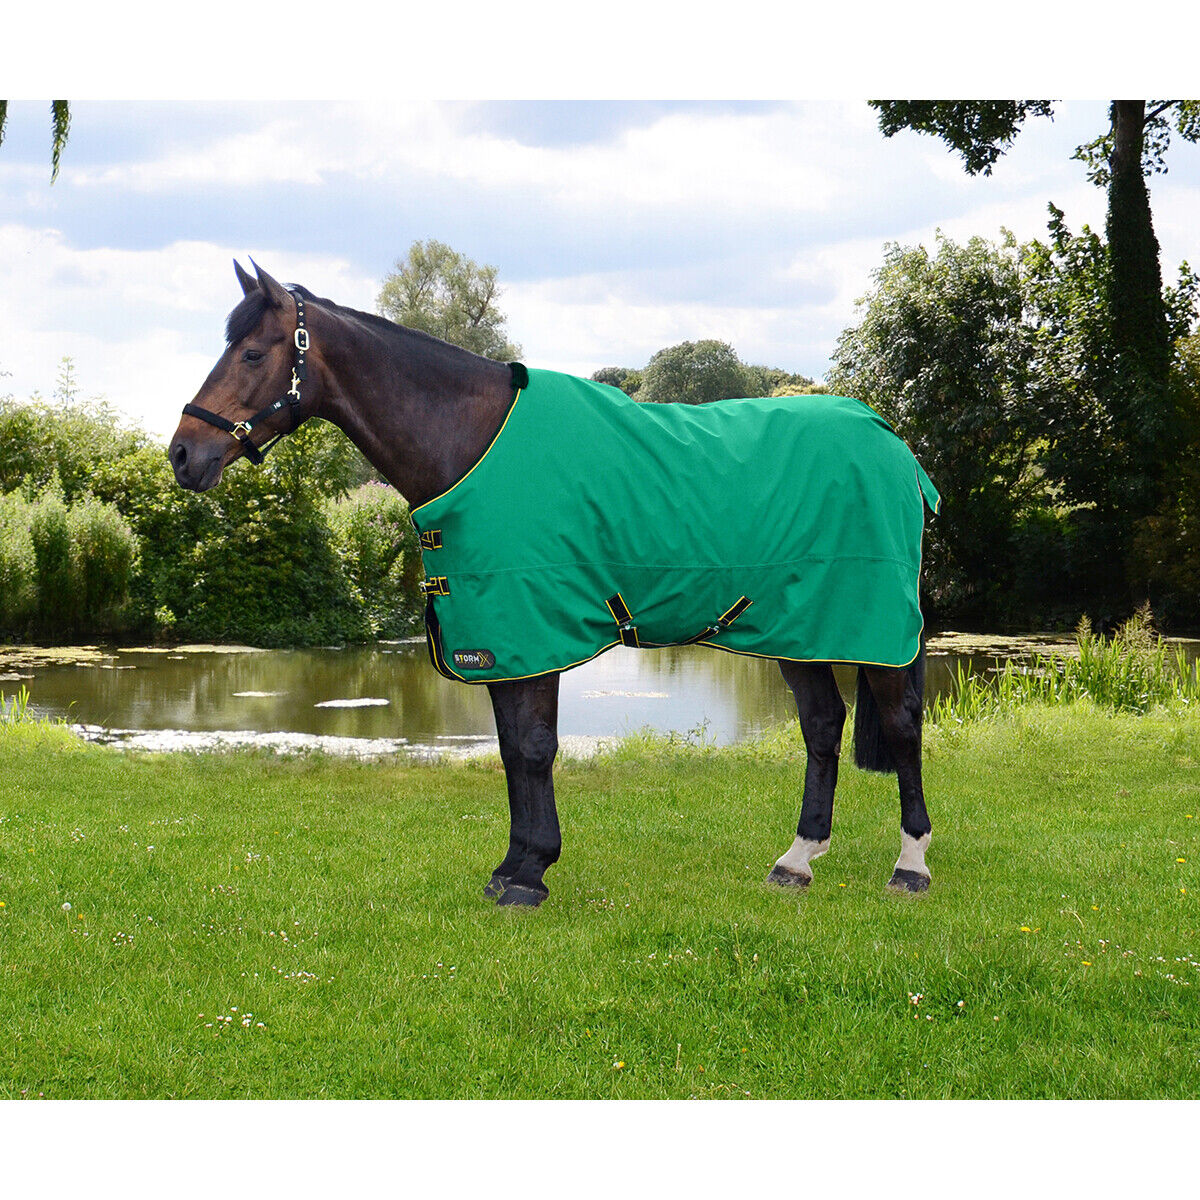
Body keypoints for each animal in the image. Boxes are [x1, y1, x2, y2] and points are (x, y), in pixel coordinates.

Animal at [169, 260, 935, 908]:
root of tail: (888, 437)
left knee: (900, 725)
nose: (183, 453)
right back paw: (796, 861)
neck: (471, 441)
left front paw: (529, 876)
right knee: (823, 725)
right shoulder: (496, 637)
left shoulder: (532, 627)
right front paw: (514, 866)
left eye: (253, 353)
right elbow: (512, 750)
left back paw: (911, 866)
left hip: (871, 628)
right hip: (794, 627)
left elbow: (534, 748)